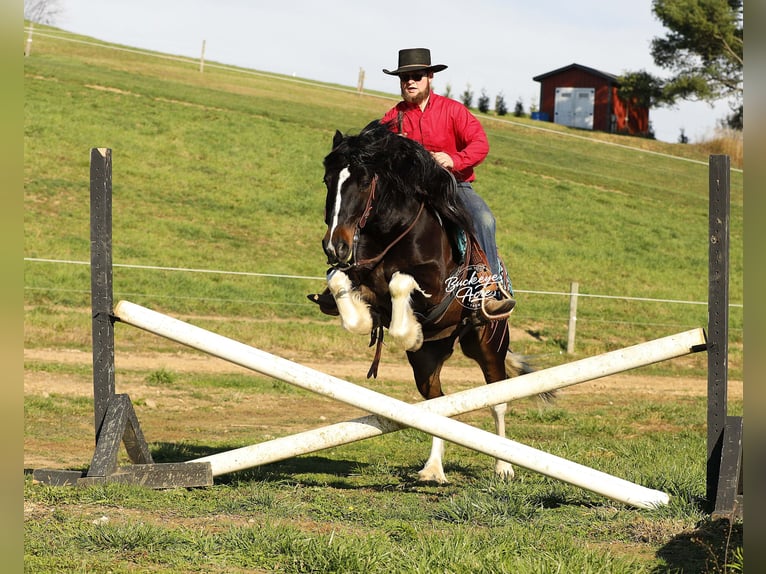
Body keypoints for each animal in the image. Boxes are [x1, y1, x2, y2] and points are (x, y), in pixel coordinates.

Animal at [319, 120, 540, 484]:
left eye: (363, 182)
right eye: (327, 179)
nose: (335, 246)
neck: (396, 233)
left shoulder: (437, 287)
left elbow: (400, 283)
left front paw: (407, 331)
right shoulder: (353, 272)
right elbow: (340, 281)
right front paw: (368, 320)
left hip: (489, 345)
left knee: (498, 399)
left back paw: (503, 467)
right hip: (427, 362)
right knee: (438, 405)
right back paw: (433, 470)